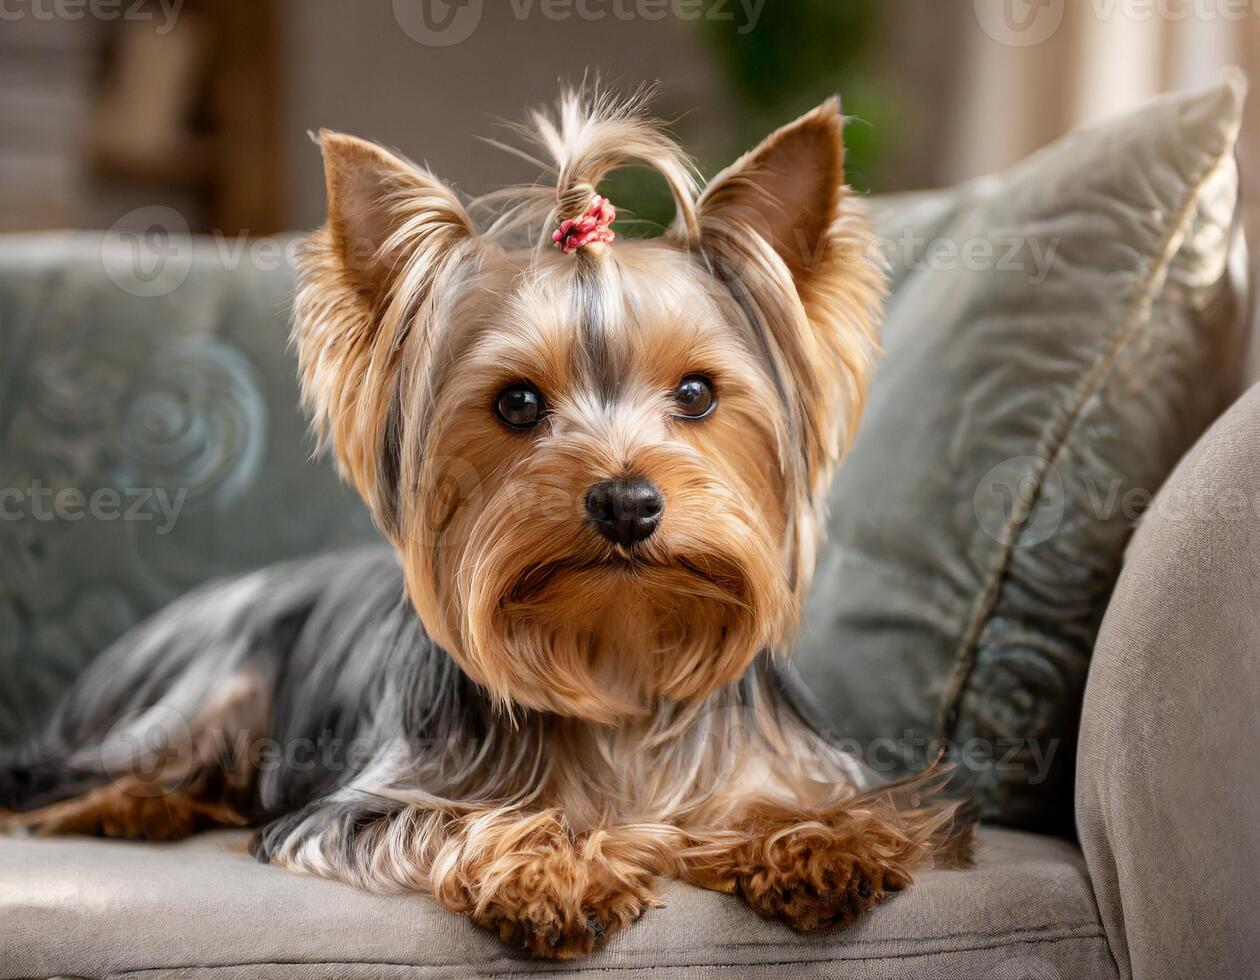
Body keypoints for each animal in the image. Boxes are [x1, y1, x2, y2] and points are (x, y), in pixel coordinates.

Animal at [0, 87, 972, 957]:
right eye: (517, 403)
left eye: (697, 393)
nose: (626, 502)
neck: (618, 652)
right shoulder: (358, 807)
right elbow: (450, 823)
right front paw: (552, 868)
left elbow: (792, 805)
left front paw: (816, 841)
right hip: (206, 686)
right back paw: (135, 807)